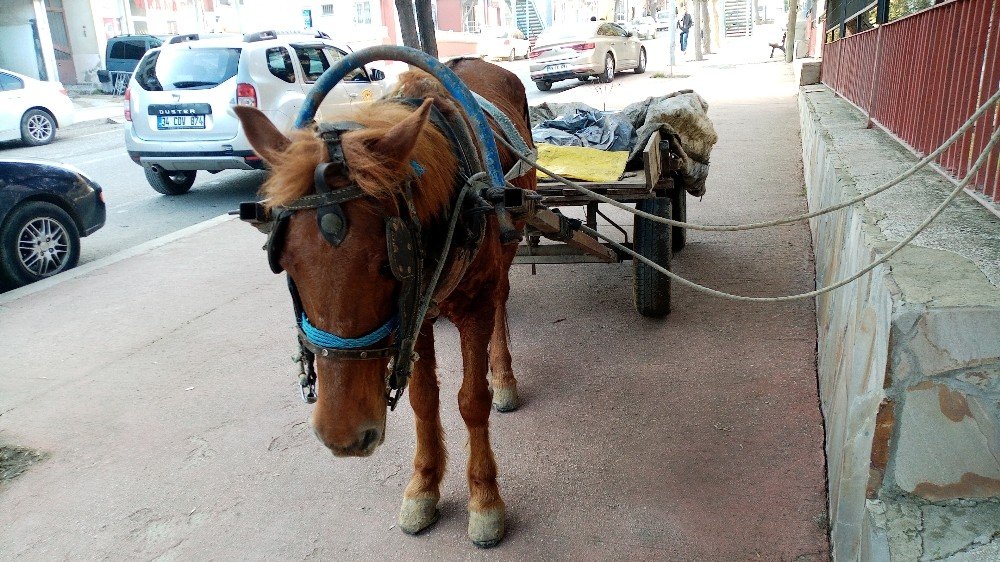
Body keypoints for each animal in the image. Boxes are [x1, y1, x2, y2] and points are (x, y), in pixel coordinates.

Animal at [233, 58, 536, 548]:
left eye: (388, 263)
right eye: (286, 264)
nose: (342, 434)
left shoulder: (472, 303)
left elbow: (472, 400)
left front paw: (485, 499)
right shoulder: (418, 313)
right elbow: (423, 399)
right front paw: (424, 486)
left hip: (508, 243)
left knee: (502, 302)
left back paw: (504, 375)